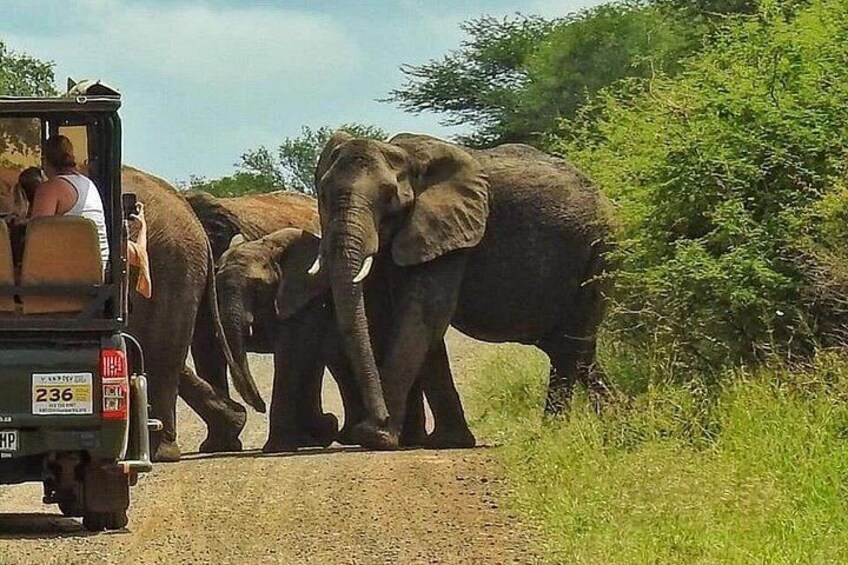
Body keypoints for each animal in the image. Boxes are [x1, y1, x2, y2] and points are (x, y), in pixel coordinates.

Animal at [278, 133, 614, 450]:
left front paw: (375, 437)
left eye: (389, 197)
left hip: (599, 252)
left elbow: (422, 314)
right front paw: (446, 441)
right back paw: (615, 419)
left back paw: (553, 432)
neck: (405, 157)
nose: (378, 418)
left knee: (571, 347)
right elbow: (409, 319)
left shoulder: (449, 231)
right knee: (575, 350)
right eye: (323, 195)